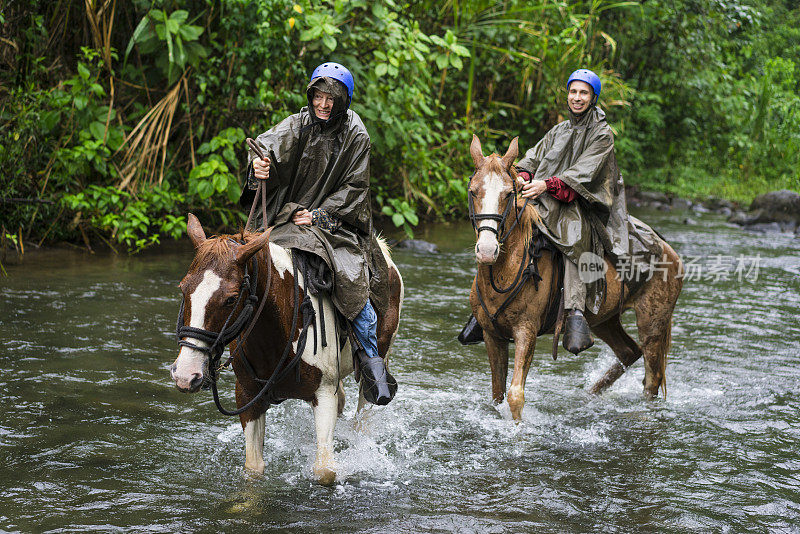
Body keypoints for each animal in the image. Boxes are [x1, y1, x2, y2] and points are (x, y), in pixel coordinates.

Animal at [172, 215, 404, 486]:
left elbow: (325, 471)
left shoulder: (324, 395)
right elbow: (253, 468)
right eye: (183, 288)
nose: (185, 375)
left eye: (230, 299)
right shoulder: (248, 396)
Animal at [468, 135, 680, 422]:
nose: (487, 250)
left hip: (653, 323)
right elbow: (497, 395)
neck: (506, 271)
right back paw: (589, 397)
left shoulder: (526, 331)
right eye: (473, 191)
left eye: (508, 194)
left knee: (652, 377)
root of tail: (670, 251)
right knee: (628, 352)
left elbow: (515, 396)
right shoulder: (492, 335)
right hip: (604, 320)